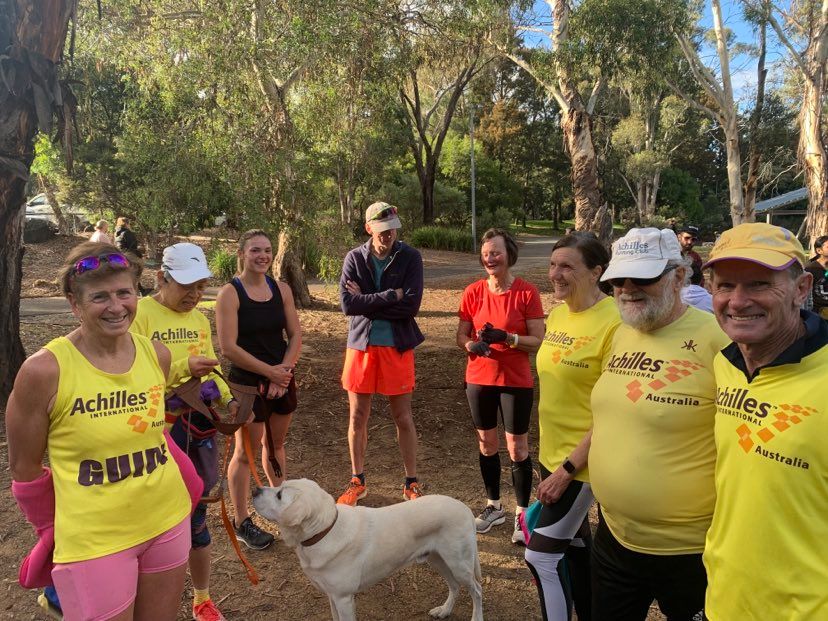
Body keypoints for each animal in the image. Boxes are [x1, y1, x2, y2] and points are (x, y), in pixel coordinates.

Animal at [256, 478, 482, 616]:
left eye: (279, 495)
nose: (255, 489)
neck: (324, 532)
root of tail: (465, 508)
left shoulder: (344, 598)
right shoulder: (332, 596)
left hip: (459, 564)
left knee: (477, 591)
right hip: (438, 560)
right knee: (454, 586)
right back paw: (444, 611)